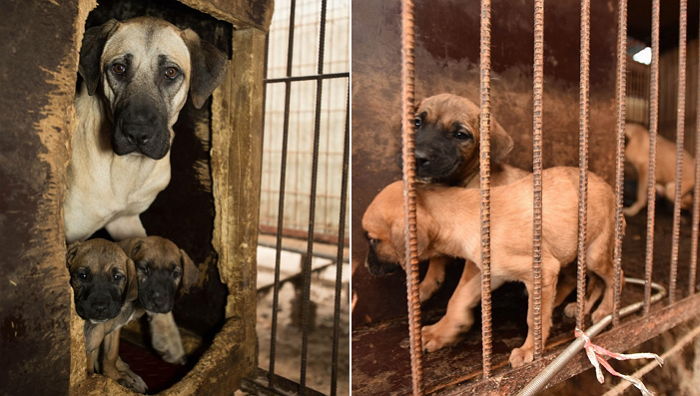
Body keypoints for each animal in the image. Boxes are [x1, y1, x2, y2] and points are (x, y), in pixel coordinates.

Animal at [64, 17, 226, 366]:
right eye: (119, 68)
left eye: (170, 73)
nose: (137, 133)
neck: (124, 168)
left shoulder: (125, 219)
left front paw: (167, 334)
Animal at [67, 238, 148, 392]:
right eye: (83, 275)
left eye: (117, 277)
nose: (100, 308)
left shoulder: (112, 332)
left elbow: (110, 356)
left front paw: (116, 377)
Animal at [364, 167, 620, 368]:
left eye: (373, 240)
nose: (366, 266)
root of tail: (609, 187)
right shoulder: (491, 272)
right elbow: (458, 298)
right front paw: (444, 331)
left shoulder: (542, 268)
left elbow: (533, 317)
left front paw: (529, 350)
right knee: (590, 280)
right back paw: (577, 305)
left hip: (593, 253)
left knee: (615, 276)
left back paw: (605, 309)